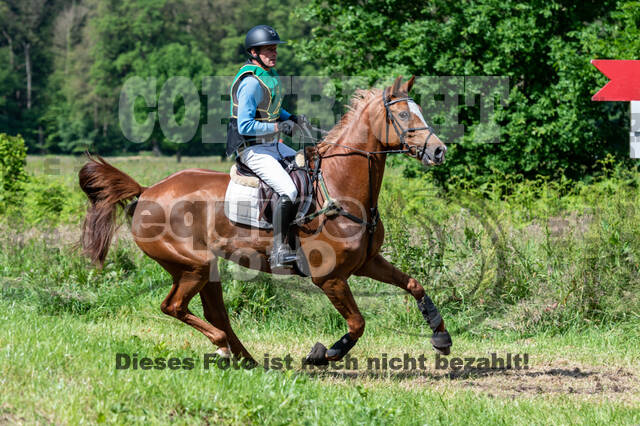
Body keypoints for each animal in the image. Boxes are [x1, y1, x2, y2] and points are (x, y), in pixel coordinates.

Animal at [78, 75, 452, 365]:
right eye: (402, 114)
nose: (439, 151)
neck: (341, 187)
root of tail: (148, 190)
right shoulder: (330, 278)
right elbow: (358, 323)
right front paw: (323, 354)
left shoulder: (367, 262)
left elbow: (414, 285)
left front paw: (441, 335)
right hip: (193, 265)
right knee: (174, 306)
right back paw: (223, 347)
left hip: (202, 268)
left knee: (215, 313)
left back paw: (245, 358)